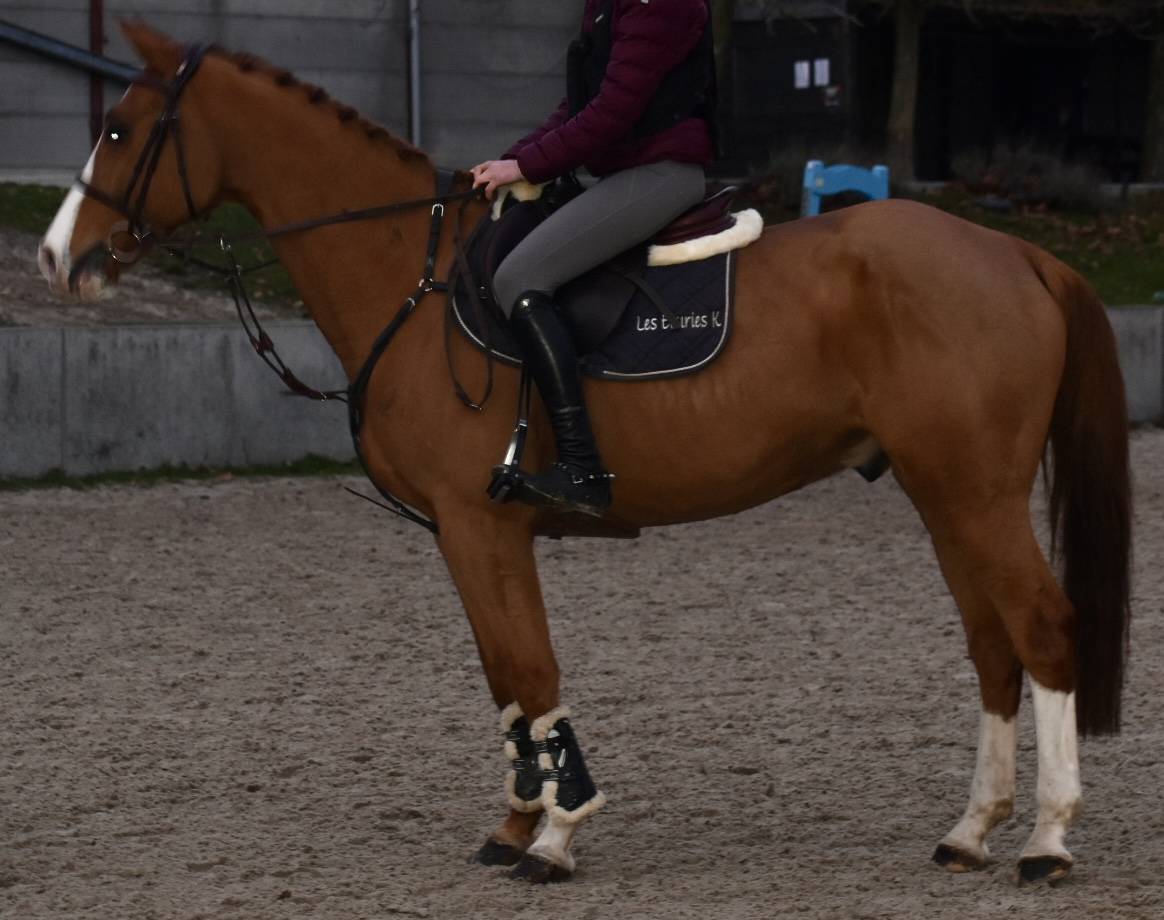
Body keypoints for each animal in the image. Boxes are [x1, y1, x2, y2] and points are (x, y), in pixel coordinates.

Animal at [38, 21, 1130, 885]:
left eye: (119, 130)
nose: (54, 258)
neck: (409, 276)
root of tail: (1014, 251)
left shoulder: (481, 523)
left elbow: (530, 662)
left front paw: (558, 833)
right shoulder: (469, 534)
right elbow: (506, 676)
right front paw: (518, 816)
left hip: (975, 492)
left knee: (1041, 627)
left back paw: (1047, 841)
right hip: (943, 491)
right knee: (991, 642)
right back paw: (971, 830)